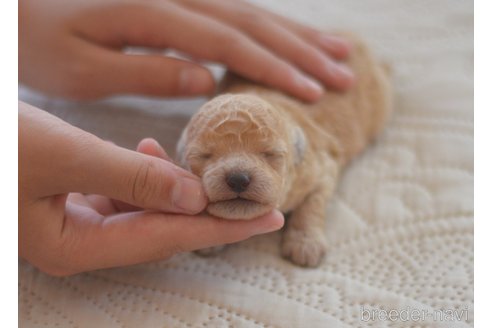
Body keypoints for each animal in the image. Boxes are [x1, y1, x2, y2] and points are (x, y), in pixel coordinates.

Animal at [177, 34, 392, 268]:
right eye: (204, 156)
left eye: (270, 154)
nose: (238, 179)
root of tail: (351, 38)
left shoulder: (321, 168)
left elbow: (312, 204)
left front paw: (305, 244)